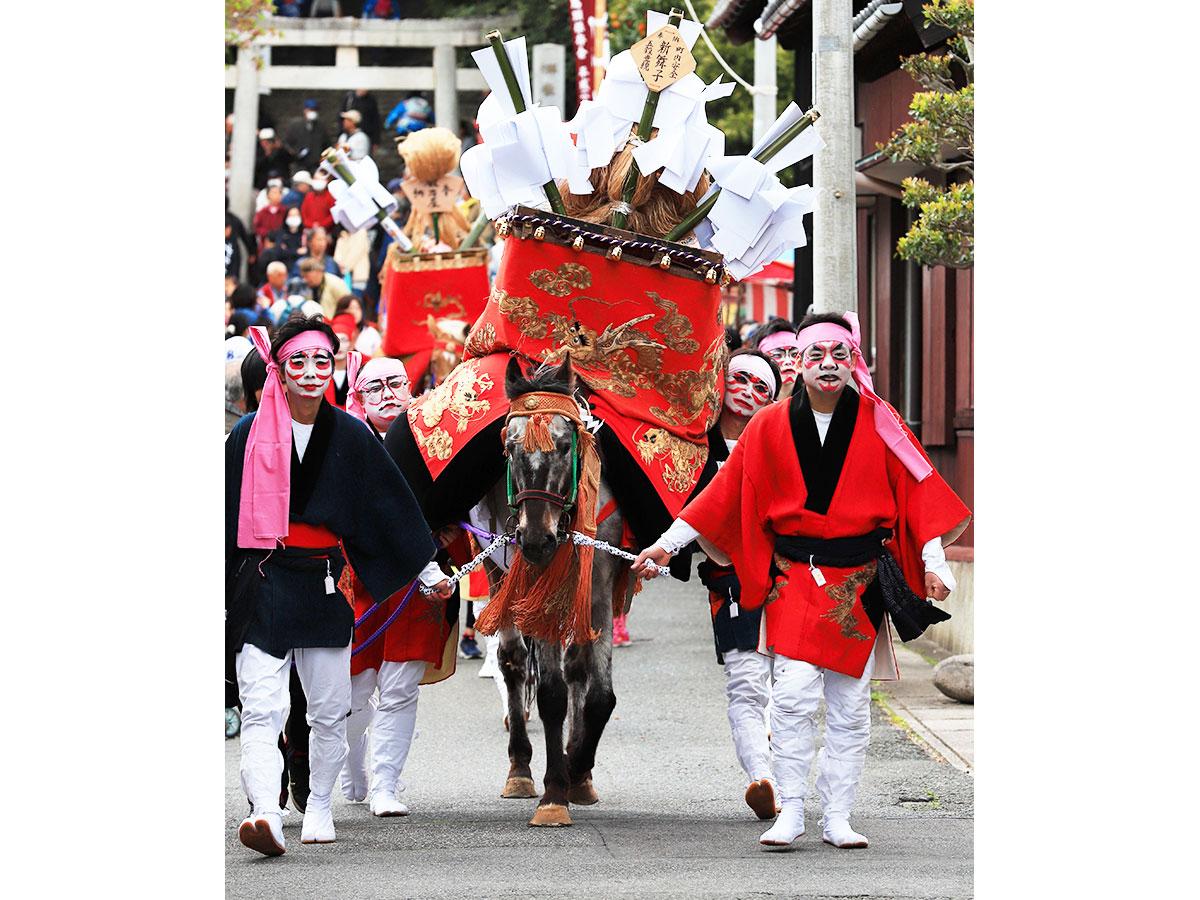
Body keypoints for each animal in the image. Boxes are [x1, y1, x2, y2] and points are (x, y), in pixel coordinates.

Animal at [472, 355, 638, 830]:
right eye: (509, 449)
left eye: (564, 446)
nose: (535, 539)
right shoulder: (533, 586)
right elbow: (549, 693)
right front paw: (553, 792)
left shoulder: (598, 585)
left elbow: (599, 694)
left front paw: (578, 770)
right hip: (496, 569)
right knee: (512, 662)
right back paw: (520, 768)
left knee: (576, 667)